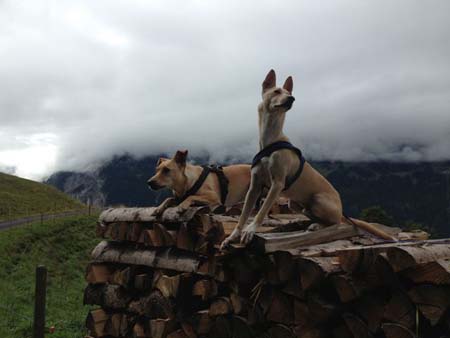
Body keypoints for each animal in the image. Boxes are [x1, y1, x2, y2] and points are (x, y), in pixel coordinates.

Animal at [221, 68, 394, 248]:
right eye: (276, 91)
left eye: (289, 93)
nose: (291, 98)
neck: (271, 140)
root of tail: (341, 210)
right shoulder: (254, 186)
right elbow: (243, 215)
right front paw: (233, 236)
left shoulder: (277, 184)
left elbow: (262, 210)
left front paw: (250, 230)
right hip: (297, 205)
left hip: (319, 200)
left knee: (336, 223)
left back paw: (319, 226)